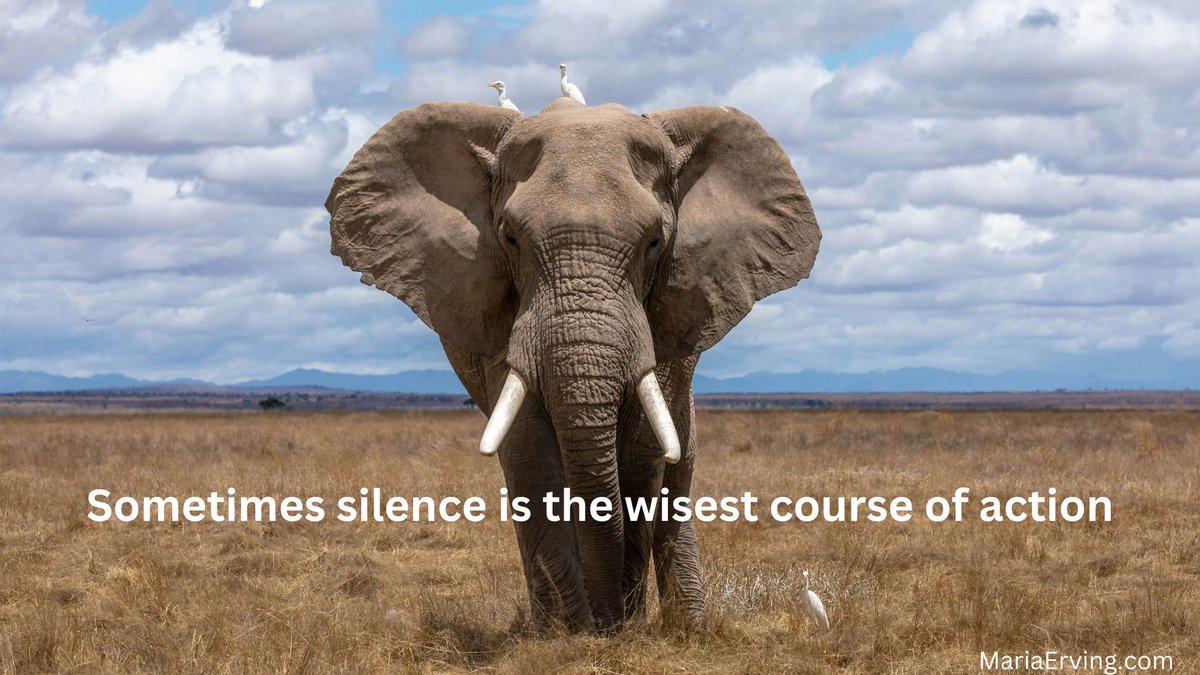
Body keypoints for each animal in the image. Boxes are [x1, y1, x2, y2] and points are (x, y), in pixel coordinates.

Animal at [325, 98, 820, 632]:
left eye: (654, 242)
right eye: (510, 239)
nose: (609, 623)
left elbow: (642, 452)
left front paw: (620, 627)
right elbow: (529, 450)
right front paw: (569, 633)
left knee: (677, 472)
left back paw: (688, 627)